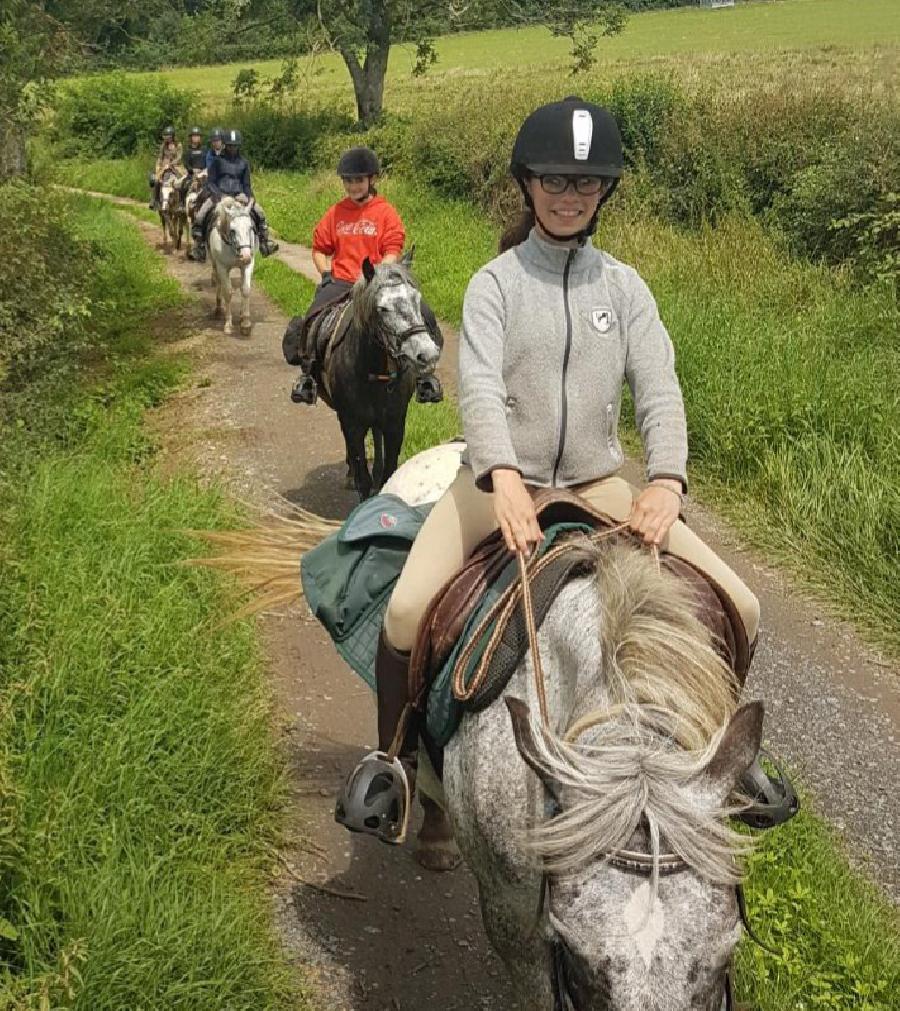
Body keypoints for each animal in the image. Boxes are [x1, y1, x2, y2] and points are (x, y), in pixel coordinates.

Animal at [208, 195, 255, 337]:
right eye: (233, 230)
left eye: (250, 227)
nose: (245, 256)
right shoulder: (222, 267)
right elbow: (228, 293)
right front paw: (228, 325)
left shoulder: (248, 265)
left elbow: (245, 289)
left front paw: (246, 323)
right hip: (215, 263)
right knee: (218, 281)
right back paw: (218, 309)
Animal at [283, 254, 442, 499]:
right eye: (382, 308)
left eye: (417, 299)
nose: (427, 353)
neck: (373, 371)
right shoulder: (352, 422)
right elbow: (362, 476)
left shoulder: (395, 423)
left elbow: (389, 473)